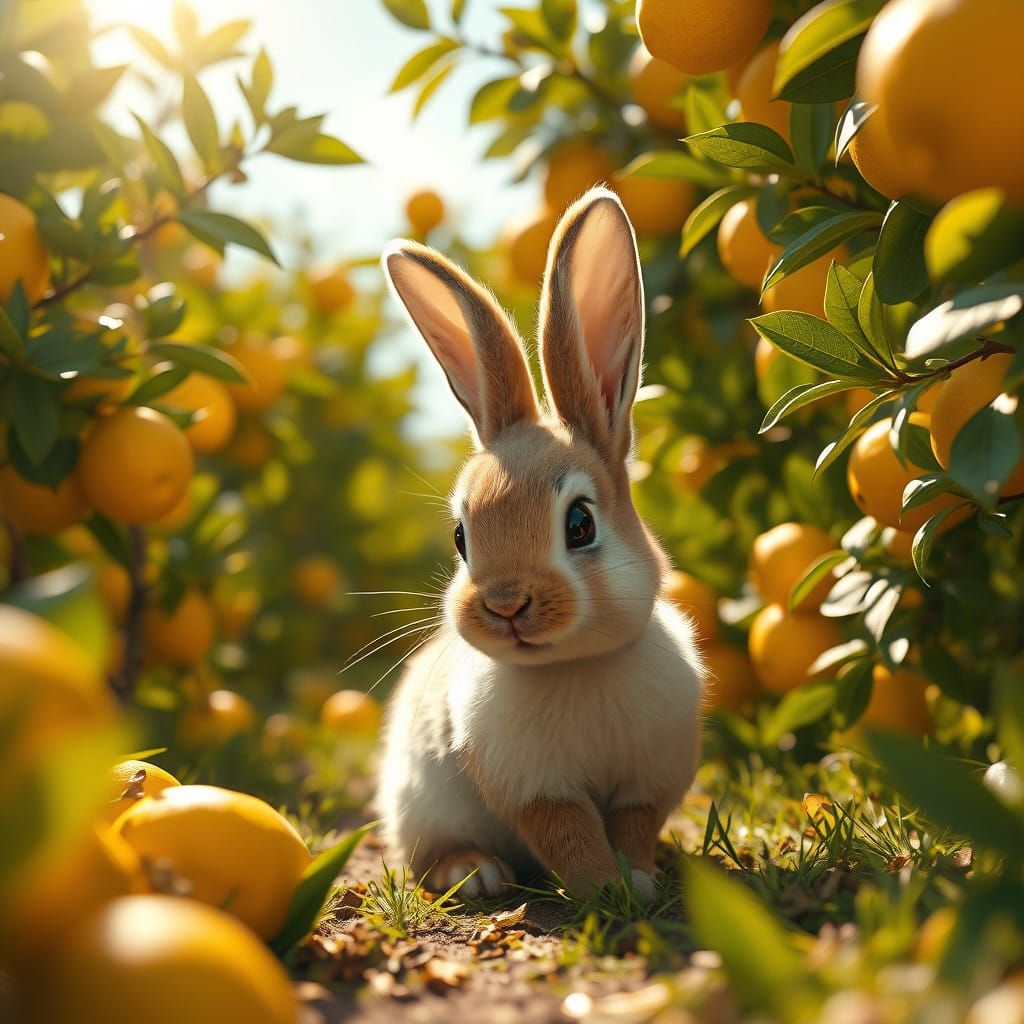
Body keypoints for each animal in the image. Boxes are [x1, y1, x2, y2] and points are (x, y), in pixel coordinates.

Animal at [375, 187, 705, 902]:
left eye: (579, 524)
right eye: (462, 536)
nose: (505, 606)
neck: (575, 664)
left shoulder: (646, 782)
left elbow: (632, 824)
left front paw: (638, 880)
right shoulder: (535, 789)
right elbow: (568, 832)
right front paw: (605, 889)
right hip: (422, 804)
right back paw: (473, 873)